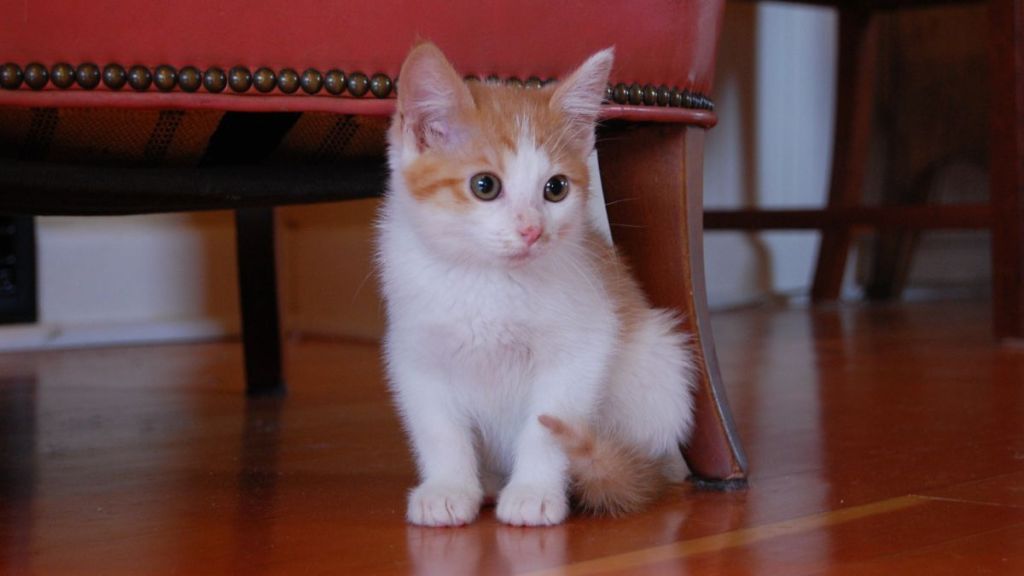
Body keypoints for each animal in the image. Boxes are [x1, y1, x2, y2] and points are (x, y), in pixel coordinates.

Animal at [376, 41, 696, 524]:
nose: (532, 230)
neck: (488, 280)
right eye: (484, 185)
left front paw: (534, 491)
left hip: (661, 372)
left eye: (556, 188)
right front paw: (449, 488)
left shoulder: (582, 347)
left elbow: (548, 424)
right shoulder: (415, 352)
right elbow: (439, 429)